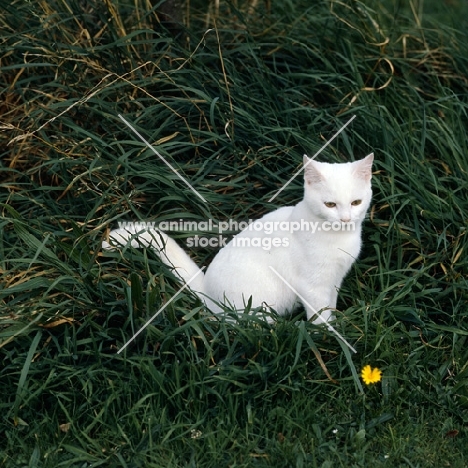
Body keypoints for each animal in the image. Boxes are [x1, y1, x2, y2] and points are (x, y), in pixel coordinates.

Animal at [102, 154, 372, 326]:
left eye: (356, 202)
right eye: (330, 204)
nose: (346, 219)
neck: (338, 237)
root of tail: (208, 292)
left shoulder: (333, 280)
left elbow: (330, 305)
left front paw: (337, 325)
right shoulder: (312, 285)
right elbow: (319, 315)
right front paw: (327, 336)